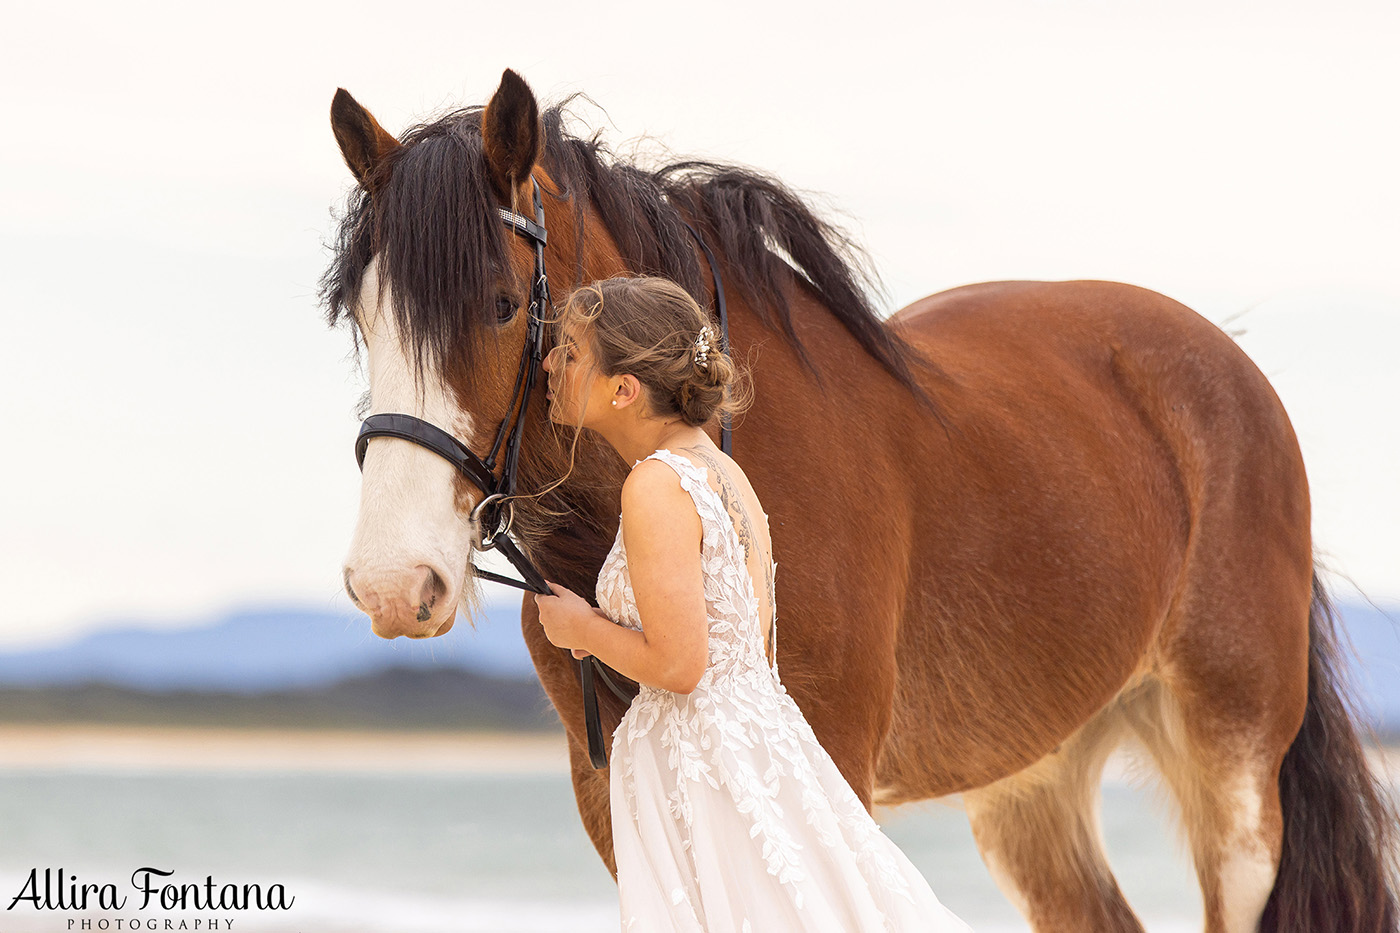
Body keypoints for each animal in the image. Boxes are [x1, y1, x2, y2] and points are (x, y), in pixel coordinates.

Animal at [322, 68, 1394, 924]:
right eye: (365, 321)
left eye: (503, 305)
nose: (391, 582)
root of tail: (1230, 365)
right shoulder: (609, 797)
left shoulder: (829, 760)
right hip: (1033, 784)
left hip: (1236, 774)